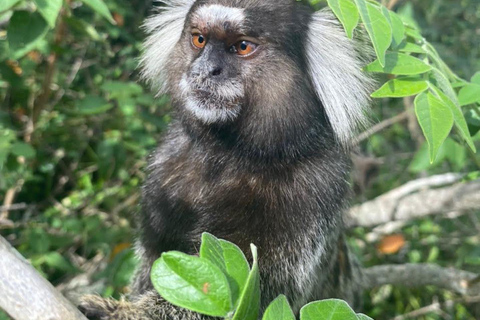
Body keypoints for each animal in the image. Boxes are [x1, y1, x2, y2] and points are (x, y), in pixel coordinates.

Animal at [79, 1, 372, 318]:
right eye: (199, 40)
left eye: (242, 46)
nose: (204, 70)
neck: (228, 155)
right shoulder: (166, 166)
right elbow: (153, 263)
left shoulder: (310, 192)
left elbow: (248, 288)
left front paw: (124, 311)